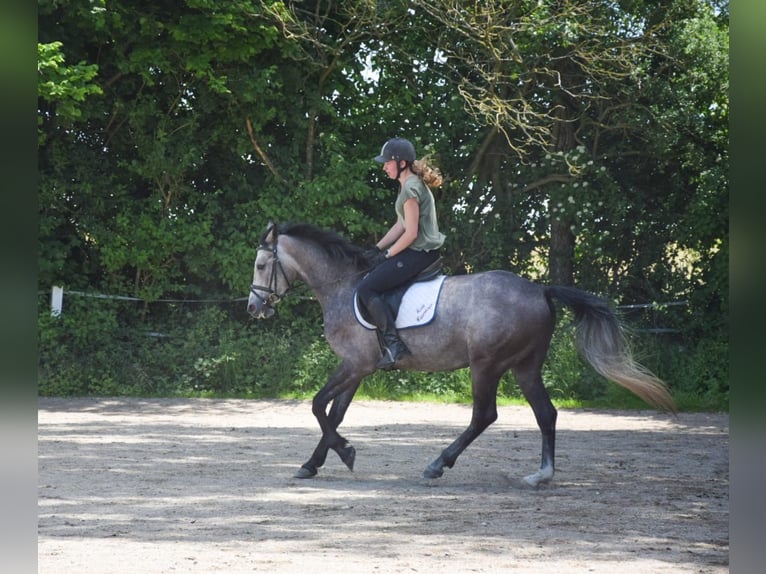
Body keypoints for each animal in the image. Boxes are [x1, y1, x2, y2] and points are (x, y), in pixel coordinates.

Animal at [247, 221, 675, 487]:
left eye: (262, 264)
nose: (254, 309)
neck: (341, 285)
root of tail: (540, 289)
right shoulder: (357, 368)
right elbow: (333, 413)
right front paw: (313, 463)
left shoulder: (355, 365)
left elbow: (318, 406)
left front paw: (345, 452)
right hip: (525, 367)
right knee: (546, 413)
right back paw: (542, 475)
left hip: (486, 365)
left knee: (485, 415)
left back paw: (438, 465)